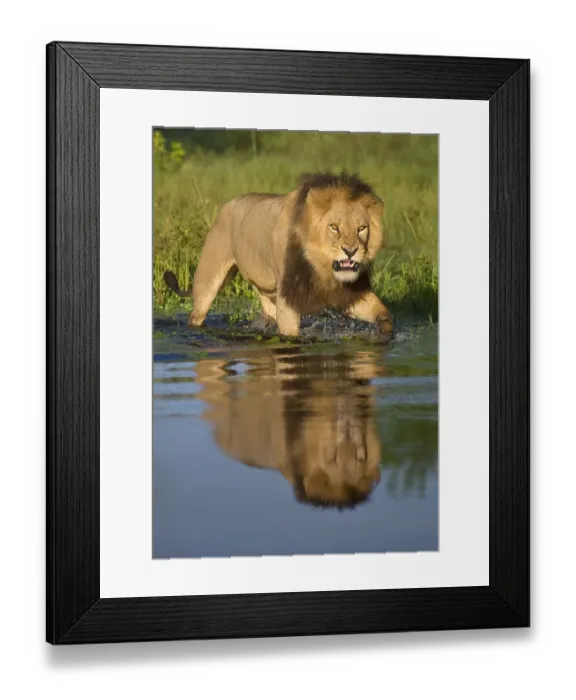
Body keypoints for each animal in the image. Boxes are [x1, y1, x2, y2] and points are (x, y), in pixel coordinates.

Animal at [163, 172, 394, 341]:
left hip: (265, 290)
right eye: (334, 227)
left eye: (361, 228)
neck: (322, 268)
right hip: (207, 283)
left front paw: (385, 334)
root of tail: (227, 205)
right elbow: (291, 335)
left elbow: (384, 313)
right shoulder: (288, 297)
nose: (351, 251)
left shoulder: (350, 293)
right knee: (197, 315)